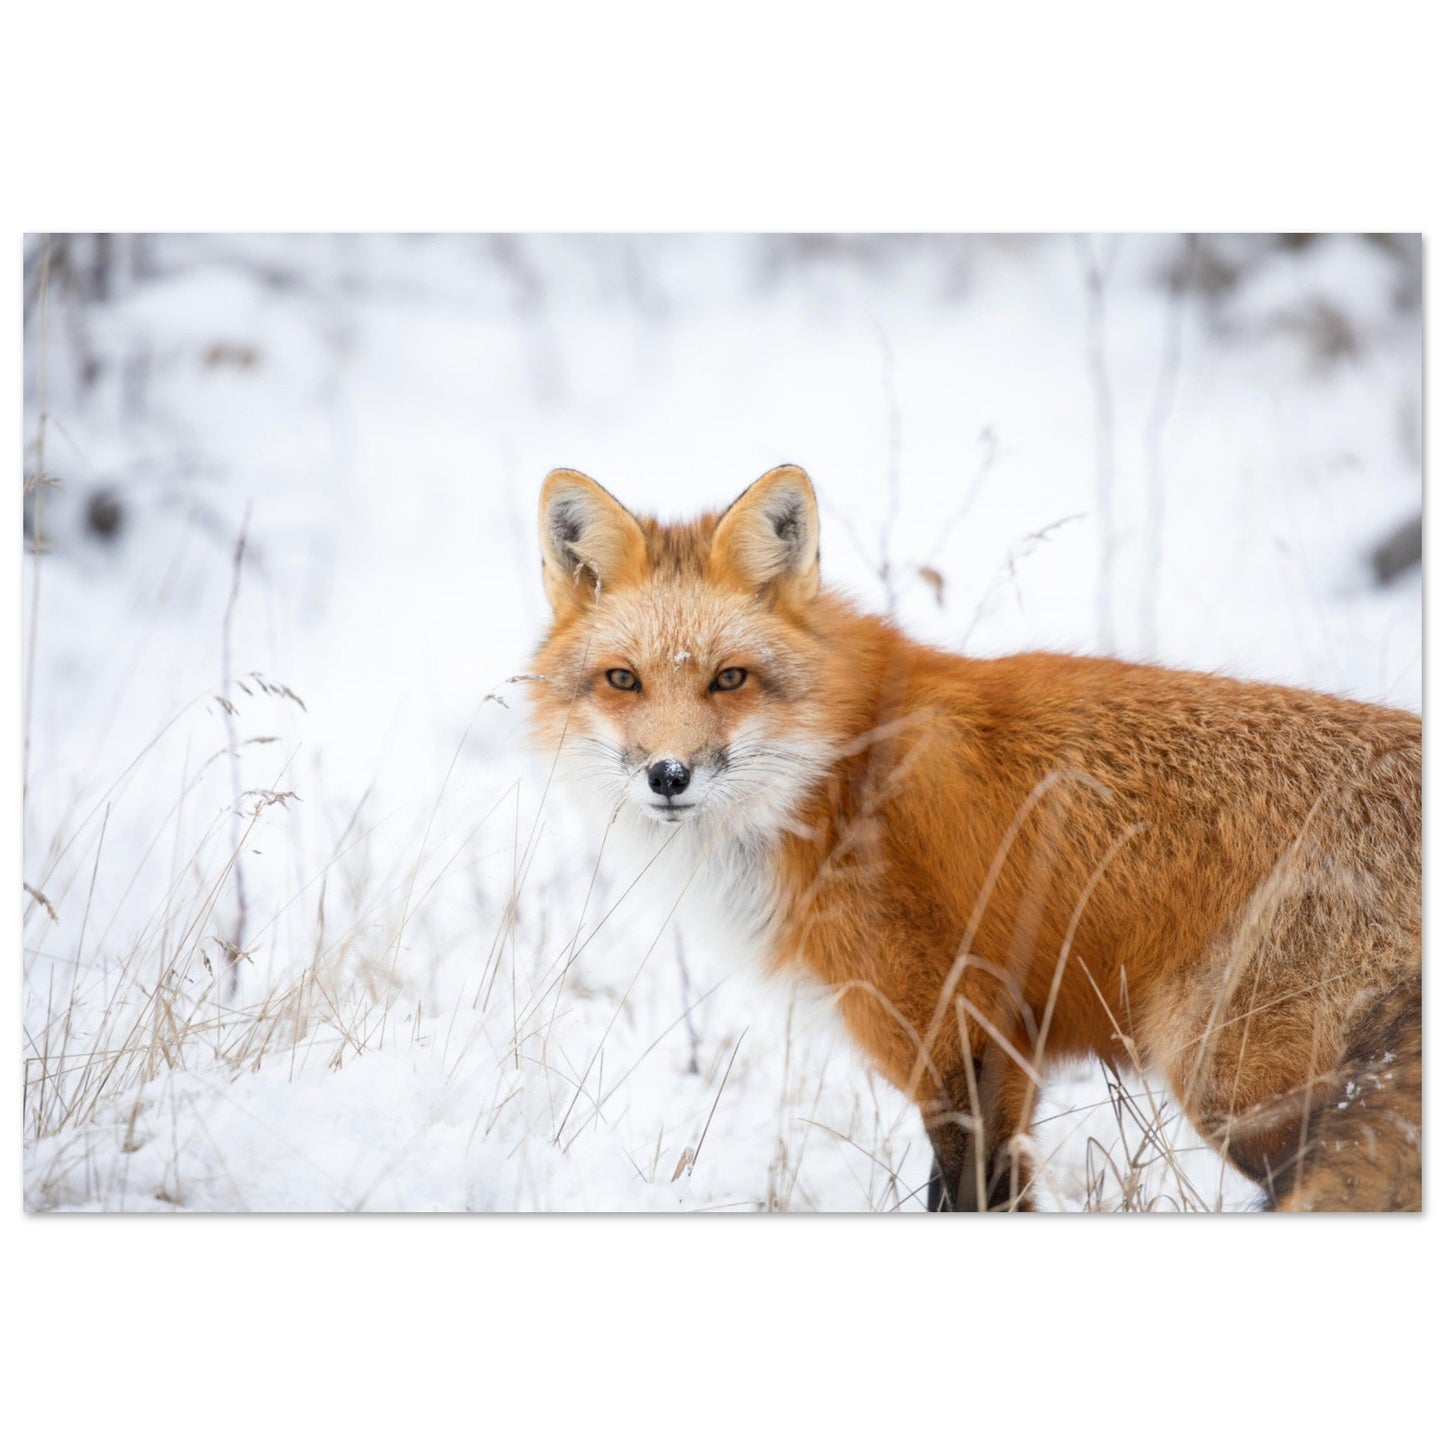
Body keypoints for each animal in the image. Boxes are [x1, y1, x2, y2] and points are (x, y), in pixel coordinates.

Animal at [527, 463, 1422, 1212]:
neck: (839, 773)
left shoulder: (958, 1033)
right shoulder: (1000, 1049)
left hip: (1232, 1086)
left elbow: (966, 1198)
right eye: (622, 679)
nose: (668, 775)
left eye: (729, 678)